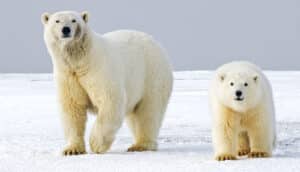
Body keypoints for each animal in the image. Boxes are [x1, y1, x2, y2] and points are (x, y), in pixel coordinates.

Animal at [42, 11, 173, 156]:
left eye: (74, 20)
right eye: (57, 21)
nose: (66, 29)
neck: (81, 60)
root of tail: (156, 42)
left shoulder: (99, 70)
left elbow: (110, 100)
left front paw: (96, 144)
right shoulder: (68, 76)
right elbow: (72, 108)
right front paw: (72, 149)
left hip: (152, 74)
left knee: (149, 111)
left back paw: (141, 145)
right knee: (135, 115)